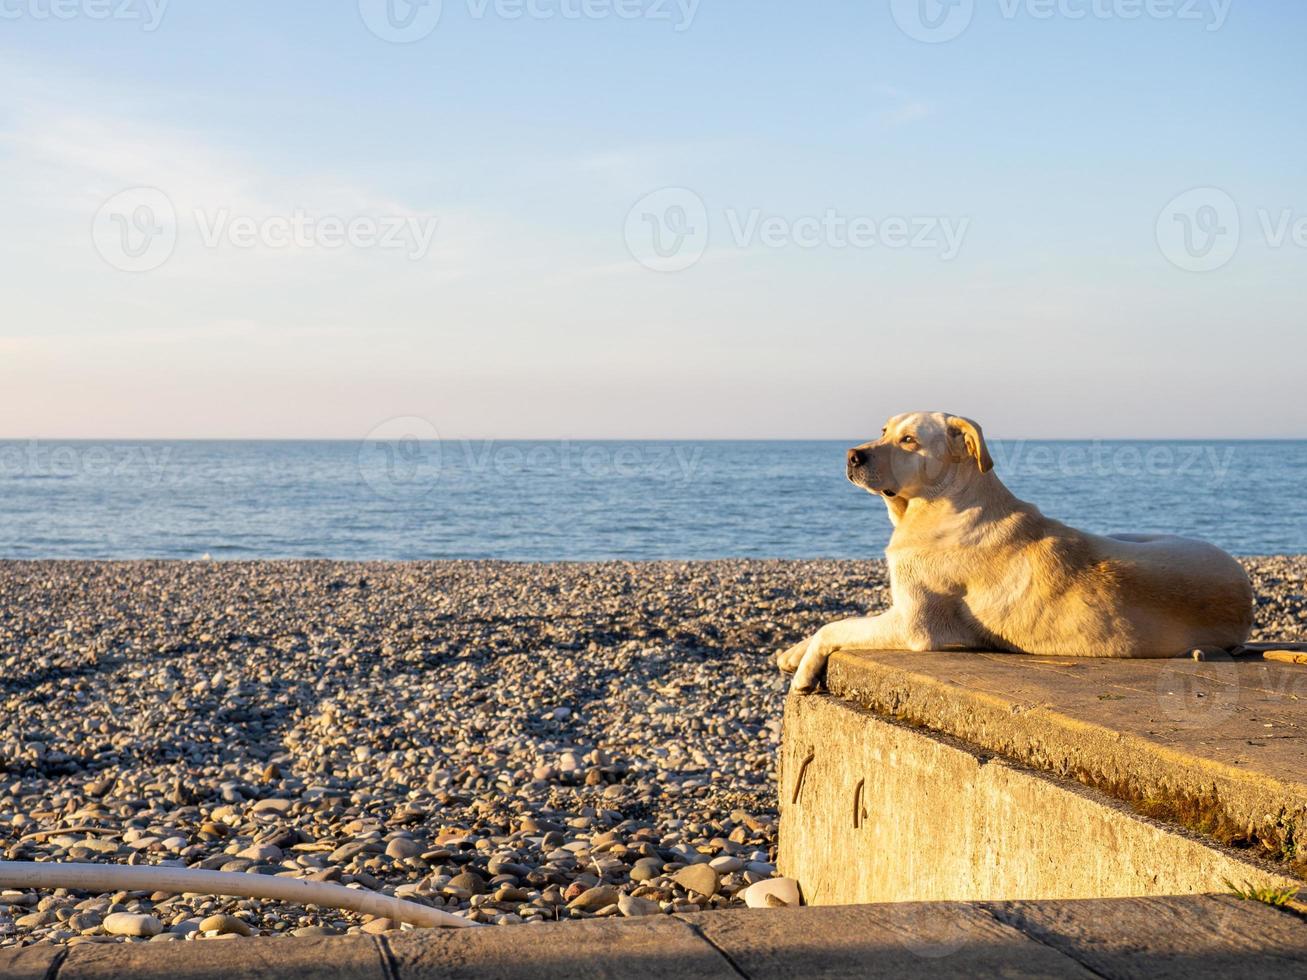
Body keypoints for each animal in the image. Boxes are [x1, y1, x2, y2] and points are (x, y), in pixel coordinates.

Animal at [773, 410, 1254, 695]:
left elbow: (835, 626)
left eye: (909, 440)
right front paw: (794, 652)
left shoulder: (915, 625)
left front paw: (804, 669)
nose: (852, 456)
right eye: (884, 432)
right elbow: (836, 623)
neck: (943, 503)